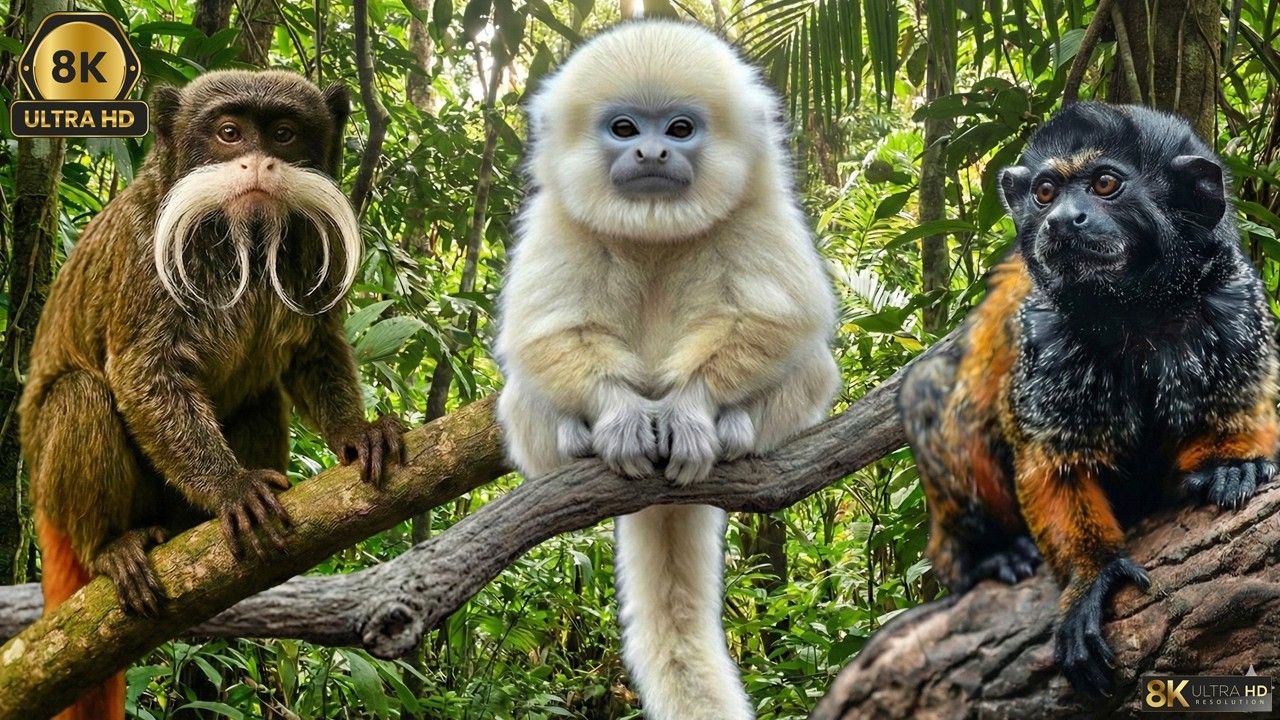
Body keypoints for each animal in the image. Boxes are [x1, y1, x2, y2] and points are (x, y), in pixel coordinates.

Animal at [19, 70, 406, 720]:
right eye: (229, 133)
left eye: (283, 134)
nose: (259, 164)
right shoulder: (144, 248)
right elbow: (143, 373)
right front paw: (230, 488)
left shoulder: (314, 240)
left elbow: (313, 348)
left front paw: (358, 433)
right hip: (56, 493)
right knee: (79, 393)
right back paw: (109, 548)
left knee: (261, 398)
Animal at [492, 20, 840, 720]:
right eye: (625, 128)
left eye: (679, 129)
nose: (651, 153)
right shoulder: (554, 223)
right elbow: (542, 335)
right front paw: (624, 417)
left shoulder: (763, 212)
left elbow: (784, 321)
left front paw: (689, 412)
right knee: (522, 391)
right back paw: (574, 441)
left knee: (811, 365)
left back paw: (734, 432)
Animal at [899, 102, 1279, 695]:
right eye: (1045, 193)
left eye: (1104, 184)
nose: (1061, 220)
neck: (1133, 308)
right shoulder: (1046, 337)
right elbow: (1053, 462)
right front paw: (1092, 573)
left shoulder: (1234, 302)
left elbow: (1245, 407)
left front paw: (1231, 464)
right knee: (930, 391)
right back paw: (988, 555)